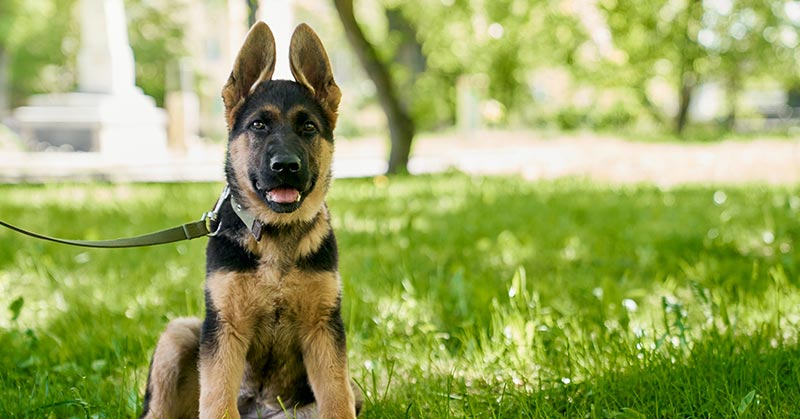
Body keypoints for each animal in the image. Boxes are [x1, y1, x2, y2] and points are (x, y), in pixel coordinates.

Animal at [140, 23, 362, 419]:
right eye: (258, 125)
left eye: (308, 127)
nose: (285, 166)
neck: (275, 233)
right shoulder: (225, 328)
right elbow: (216, 400)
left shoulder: (324, 328)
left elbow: (336, 399)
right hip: (180, 333)